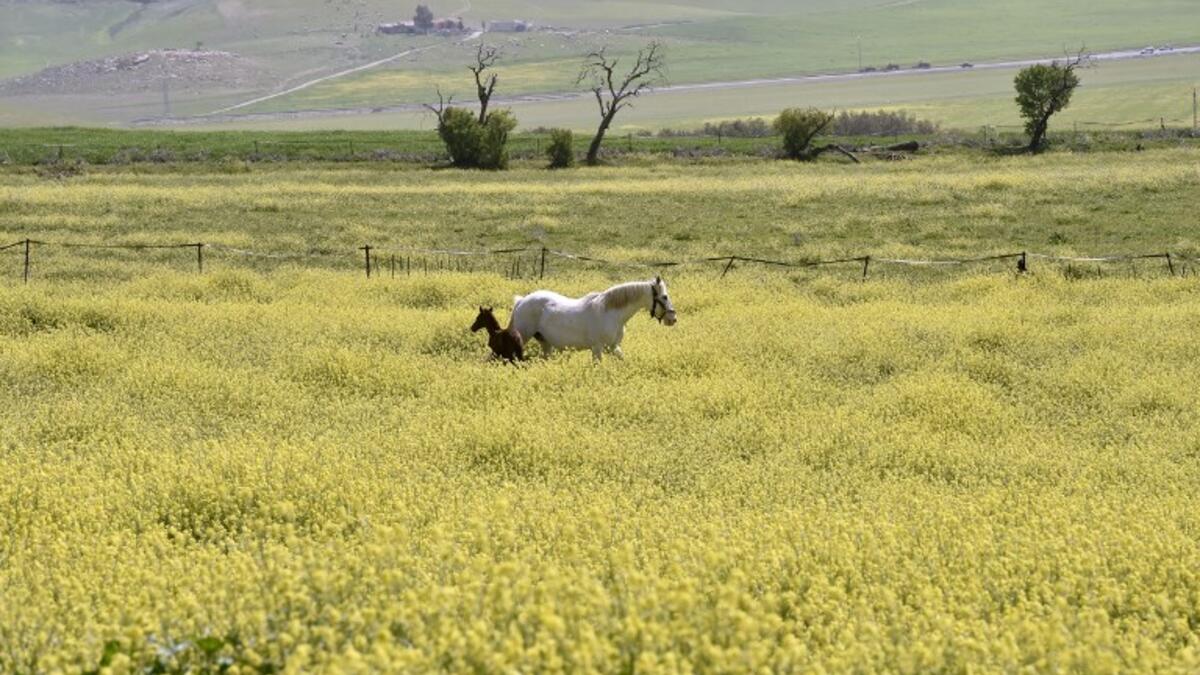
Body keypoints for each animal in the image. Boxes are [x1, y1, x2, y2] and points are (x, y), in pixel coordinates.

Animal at [511, 276, 676, 361]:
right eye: (664, 297)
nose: (673, 318)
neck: (612, 314)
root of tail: (521, 301)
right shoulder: (597, 348)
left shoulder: (614, 347)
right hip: (523, 337)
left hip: (545, 343)